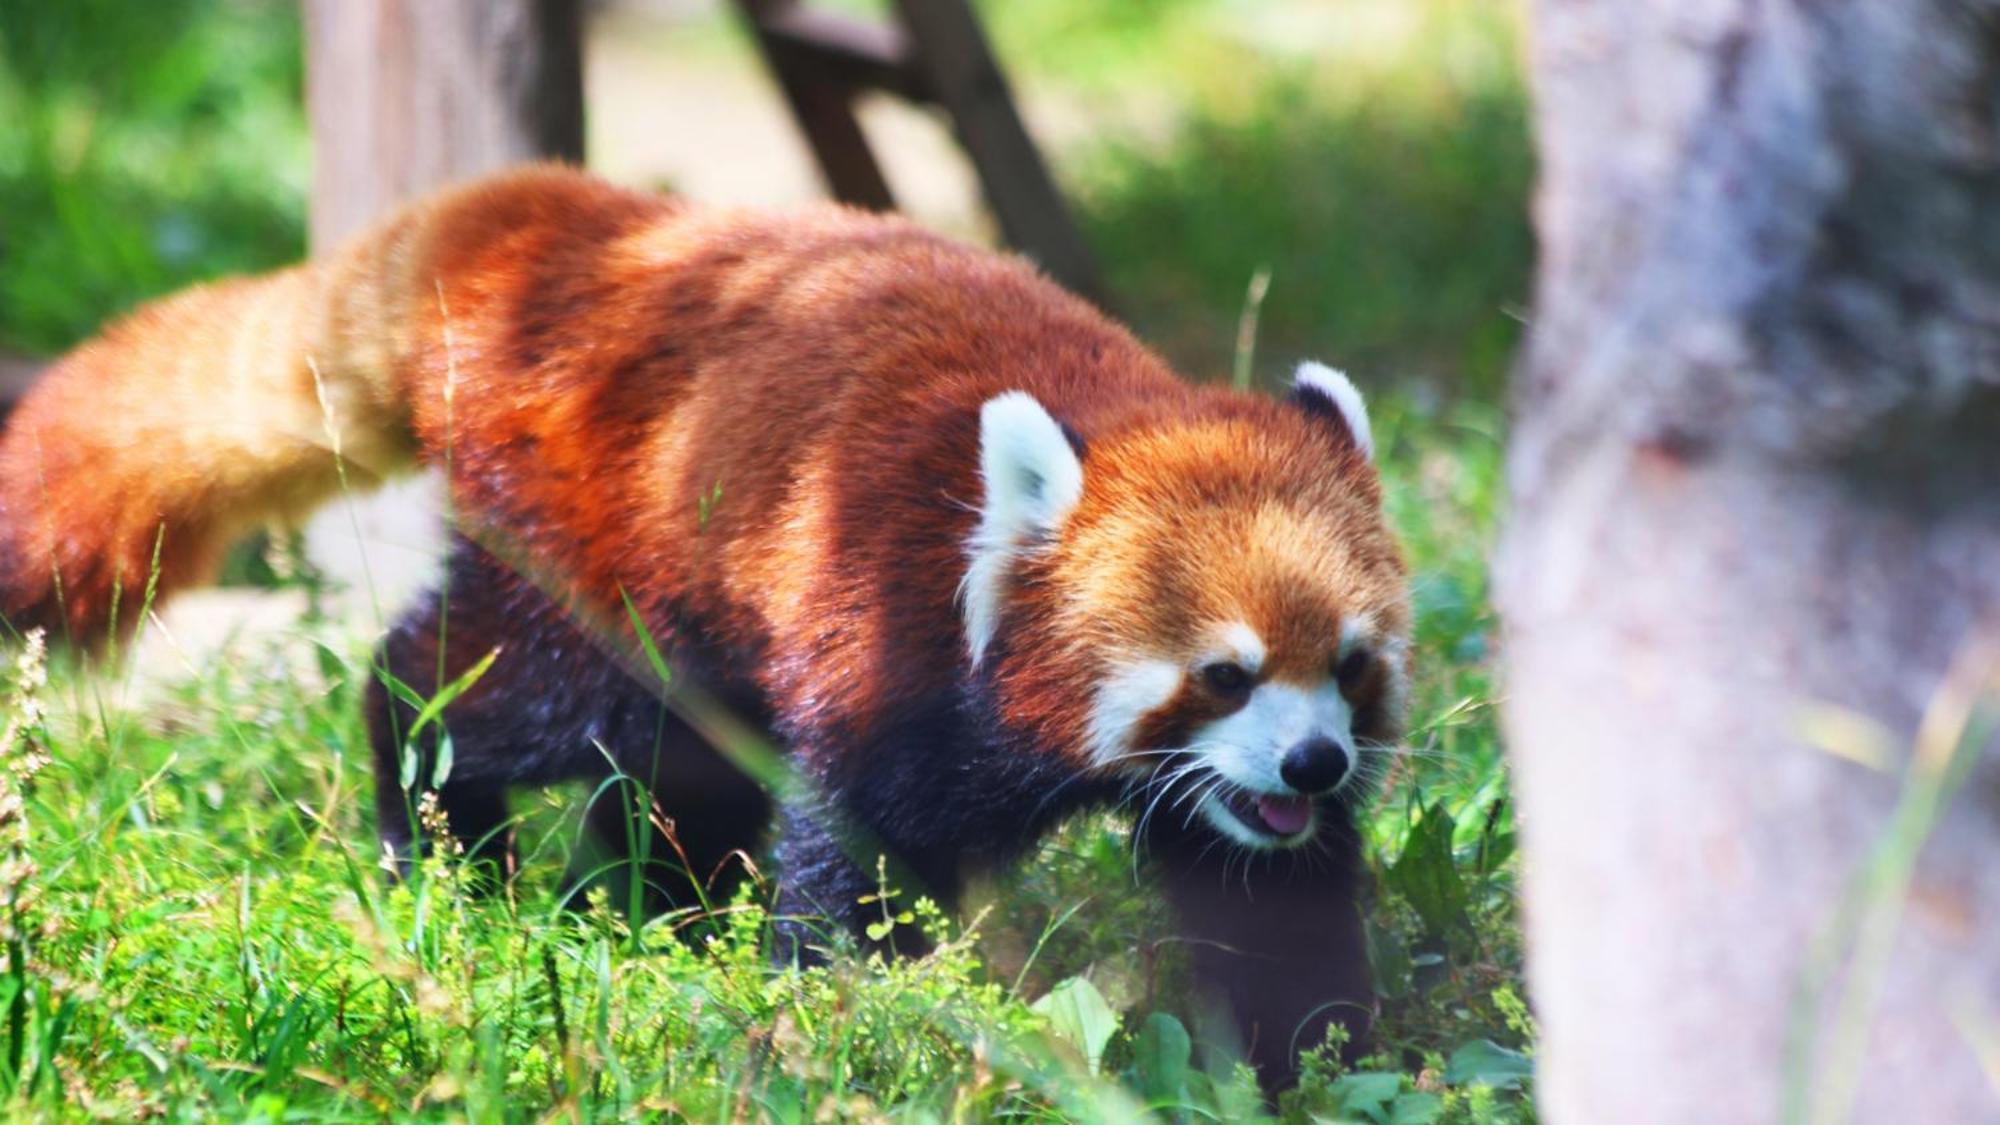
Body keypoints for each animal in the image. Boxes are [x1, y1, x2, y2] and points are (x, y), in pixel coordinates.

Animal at [0, 164, 1416, 1080]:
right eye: (1222, 675)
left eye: (1346, 668)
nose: (1313, 763)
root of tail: (584, 231)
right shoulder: (884, 634)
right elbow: (856, 856)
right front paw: (853, 1022)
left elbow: (1267, 896)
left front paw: (1313, 1060)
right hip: (597, 548)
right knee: (485, 690)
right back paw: (449, 847)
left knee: (671, 766)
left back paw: (660, 908)